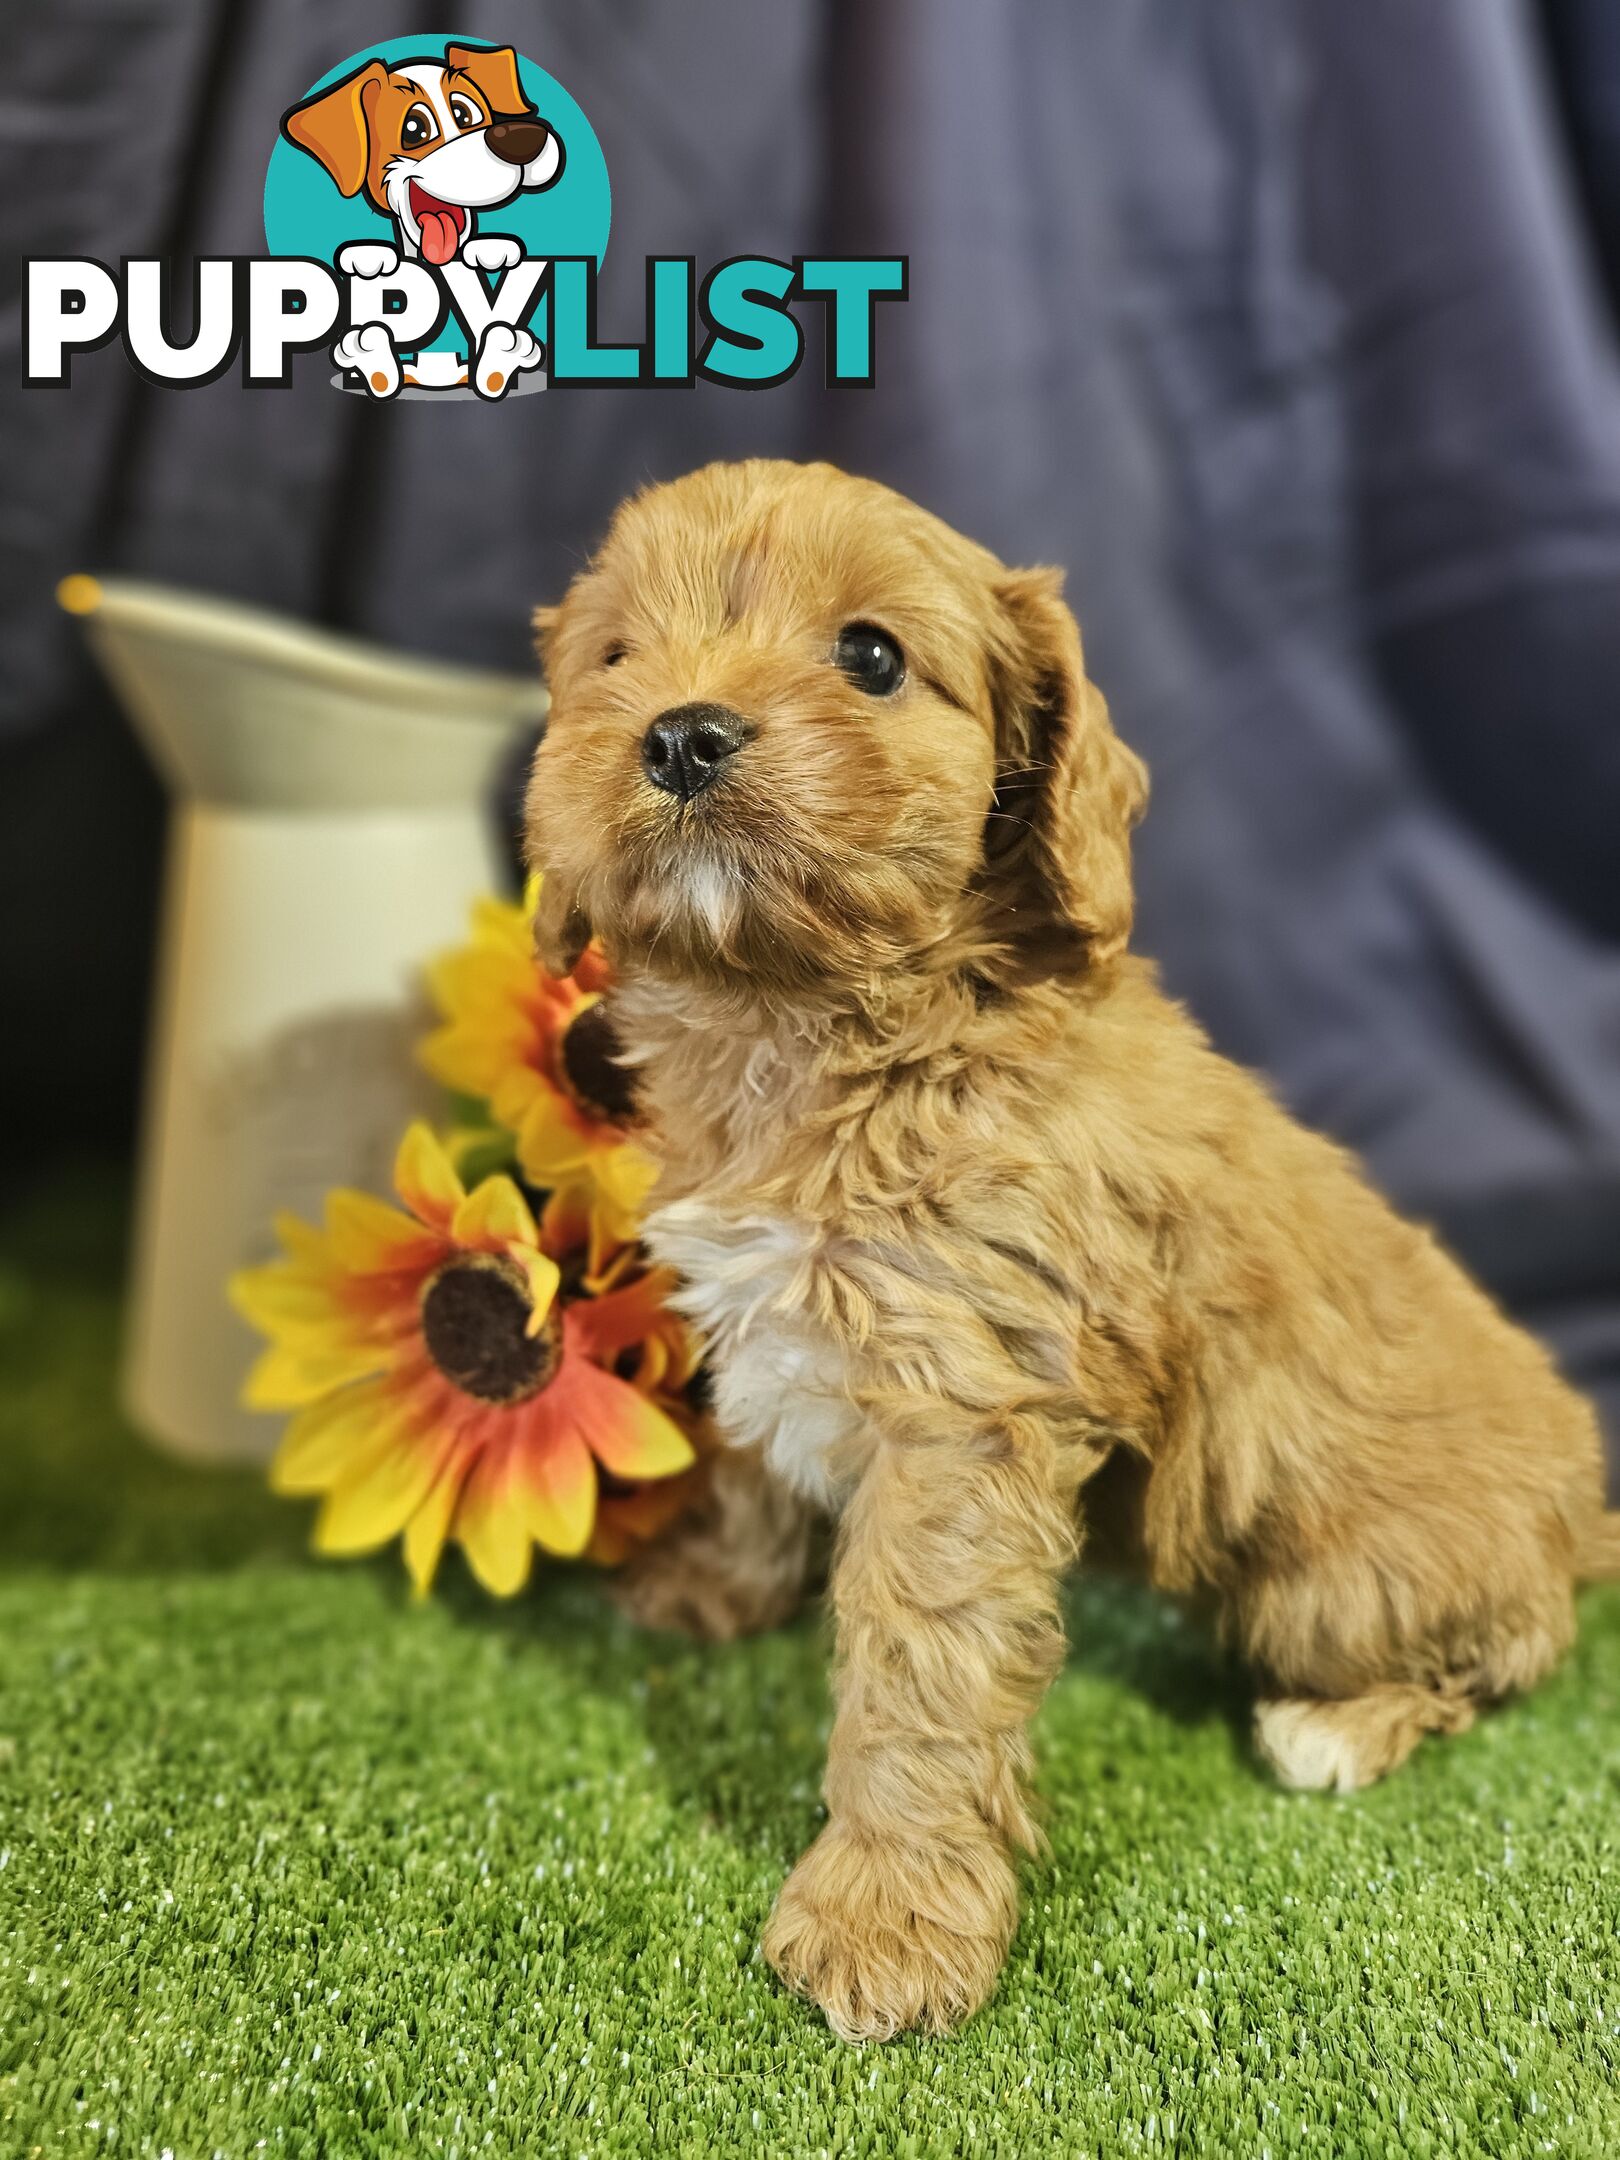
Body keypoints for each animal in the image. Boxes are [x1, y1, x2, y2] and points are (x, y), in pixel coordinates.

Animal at [527, 455, 1615, 2039]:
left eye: (871, 656)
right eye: (616, 658)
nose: (679, 732)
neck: (812, 1023)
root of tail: (1585, 1508)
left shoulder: (963, 1405)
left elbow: (916, 1666)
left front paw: (885, 1920)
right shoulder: (775, 1316)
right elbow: (746, 1464)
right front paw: (708, 1589)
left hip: (1331, 1581)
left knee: (1513, 1651)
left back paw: (1339, 1731)